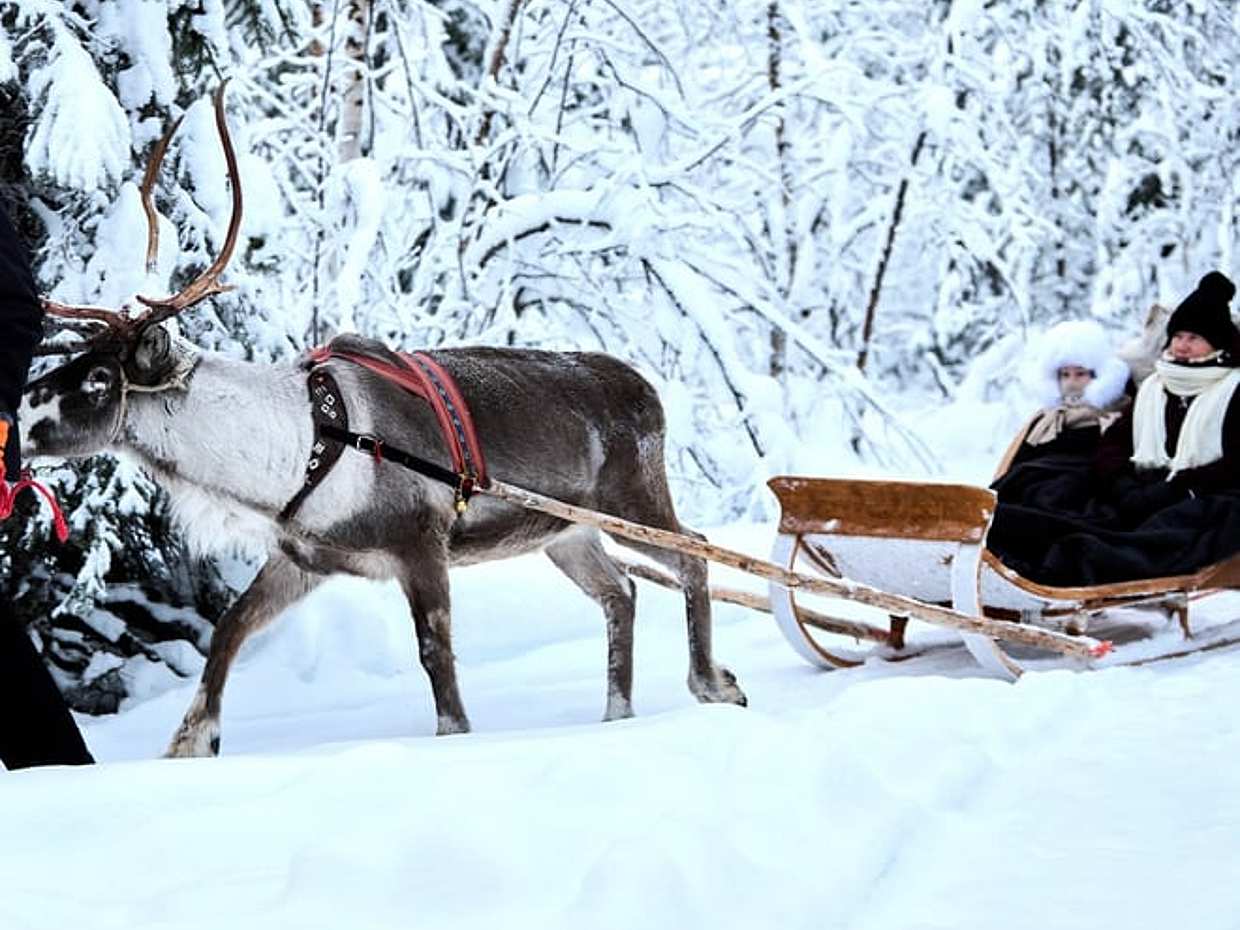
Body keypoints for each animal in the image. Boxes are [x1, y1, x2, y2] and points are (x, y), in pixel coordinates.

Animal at [20, 85, 746, 758]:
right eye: (75, 357)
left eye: (98, 380)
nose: (21, 412)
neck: (295, 451)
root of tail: (649, 390)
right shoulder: (303, 558)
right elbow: (227, 629)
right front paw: (191, 741)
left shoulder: (421, 545)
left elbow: (436, 657)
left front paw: (454, 736)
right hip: (566, 533)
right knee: (621, 591)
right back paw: (617, 713)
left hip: (631, 499)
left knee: (695, 554)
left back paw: (714, 684)